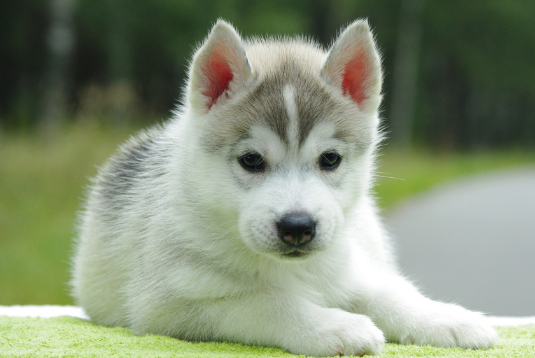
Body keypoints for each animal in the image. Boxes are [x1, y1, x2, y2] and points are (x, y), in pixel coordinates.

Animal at [71, 19, 498, 356]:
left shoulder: (346, 268)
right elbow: (266, 302)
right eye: (251, 160)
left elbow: (387, 293)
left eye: (330, 159)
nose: (297, 226)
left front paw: (446, 318)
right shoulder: (168, 306)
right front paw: (335, 326)